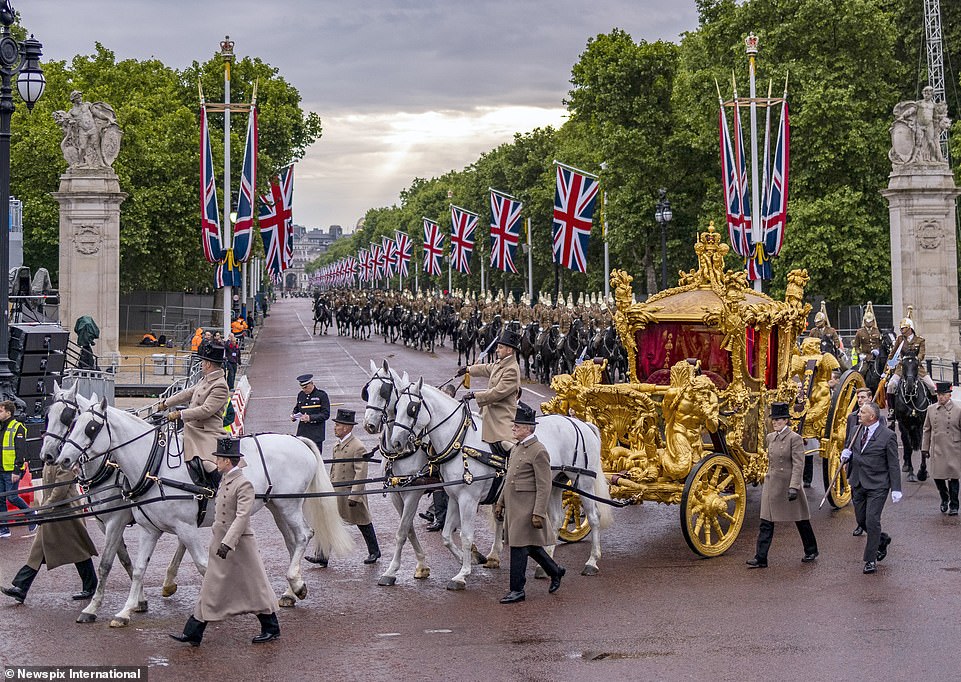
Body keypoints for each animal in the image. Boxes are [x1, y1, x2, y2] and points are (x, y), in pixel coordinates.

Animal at [40, 382, 193, 620]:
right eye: (47, 415)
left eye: (68, 417)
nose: (47, 455)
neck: (108, 465)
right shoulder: (105, 523)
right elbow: (124, 559)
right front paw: (139, 600)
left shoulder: (117, 520)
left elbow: (106, 563)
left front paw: (94, 608)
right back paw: (169, 582)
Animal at [56, 398, 350, 628]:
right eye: (73, 423)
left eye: (91, 428)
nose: (61, 459)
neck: (153, 466)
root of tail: (296, 439)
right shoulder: (149, 529)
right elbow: (138, 569)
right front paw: (125, 610)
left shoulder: (180, 527)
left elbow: (202, 566)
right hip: (277, 506)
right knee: (292, 542)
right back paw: (293, 590)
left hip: (289, 505)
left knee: (303, 535)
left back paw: (294, 584)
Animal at [392, 378, 616, 580]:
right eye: (396, 406)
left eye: (412, 408)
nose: (396, 443)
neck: (461, 442)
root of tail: (581, 423)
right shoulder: (455, 497)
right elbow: (447, 536)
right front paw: (470, 560)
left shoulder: (468, 499)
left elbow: (466, 536)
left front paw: (463, 573)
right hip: (554, 484)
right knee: (556, 519)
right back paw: (545, 566)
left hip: (583, 482)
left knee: (594, 517)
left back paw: (592, 562)